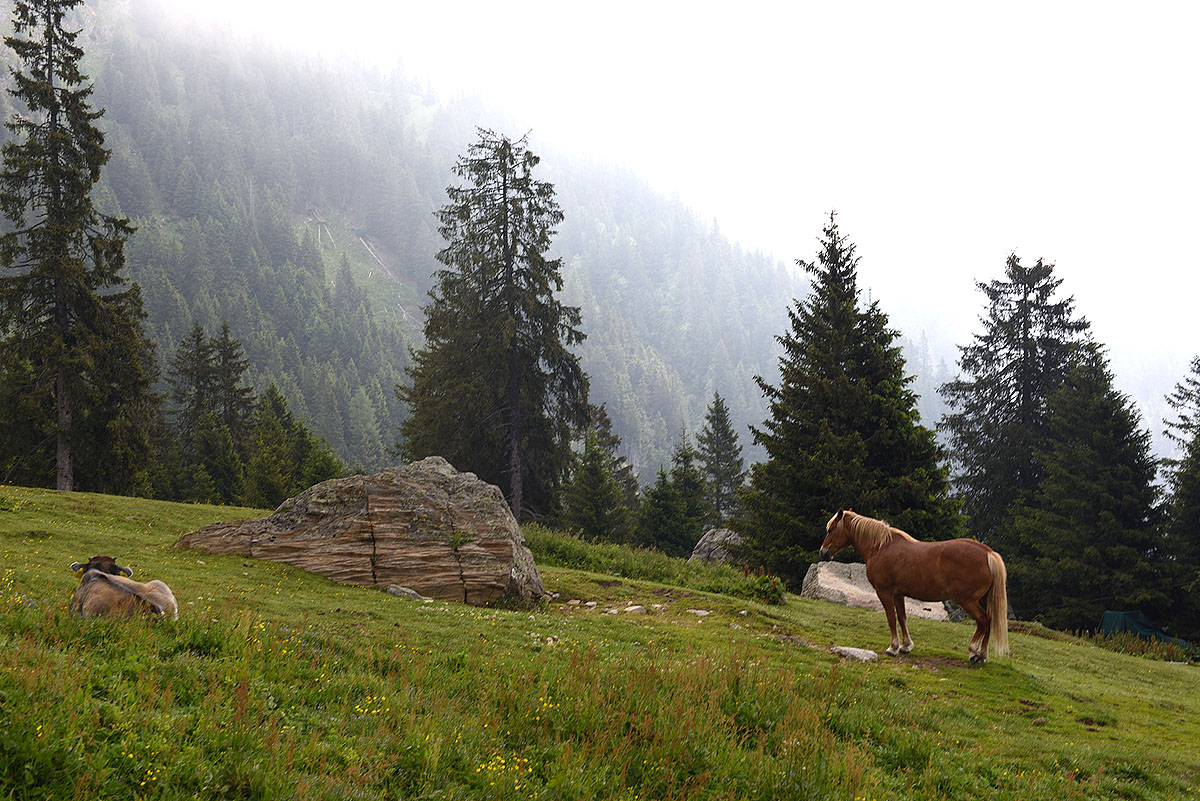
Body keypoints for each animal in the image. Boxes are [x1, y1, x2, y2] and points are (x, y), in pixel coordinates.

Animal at [820, 513, 1008, 661]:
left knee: (983, 620)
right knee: (989, 621)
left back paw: (973, 651)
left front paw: (893, 647)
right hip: (982, 600)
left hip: (967, 600)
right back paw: (982, 655)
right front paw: (906, 646)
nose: (823, 552)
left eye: (831, 530)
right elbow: (902, 618)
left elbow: (891, 618)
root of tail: (988, 553)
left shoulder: (884, 592)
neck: (881, 547)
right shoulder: (898, 594)